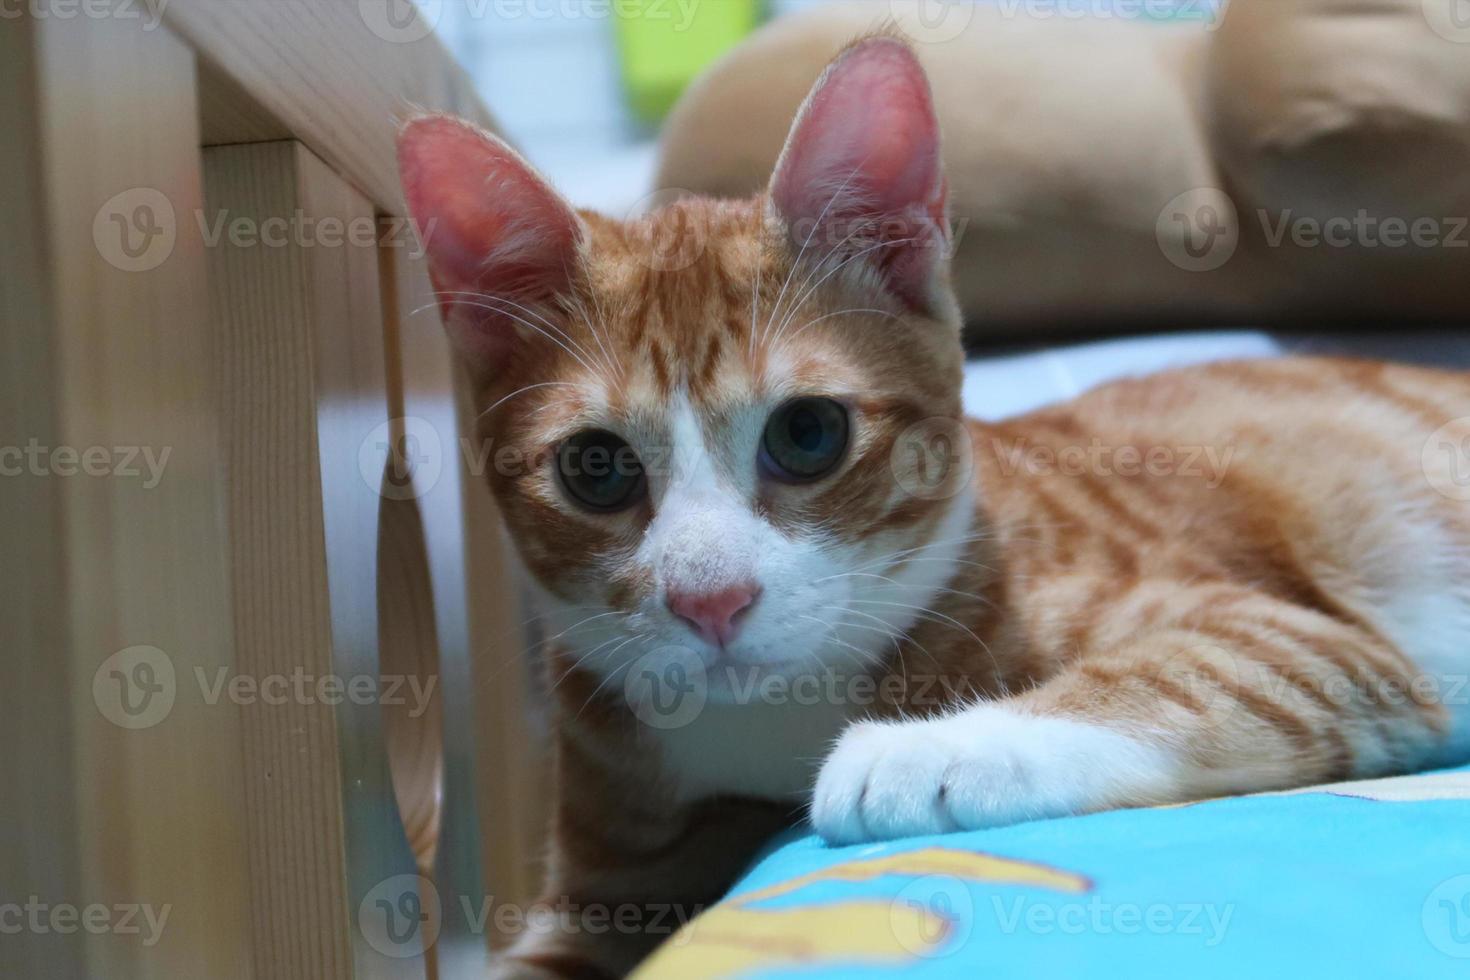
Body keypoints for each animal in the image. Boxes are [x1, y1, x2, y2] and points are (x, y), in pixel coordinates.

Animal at [396, 34, 1470, 975]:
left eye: (808, 434)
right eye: (597, 468)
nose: (711, 601)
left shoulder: (1305, 638)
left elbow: (1200, 669)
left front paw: (933, 748)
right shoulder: (599, 891)